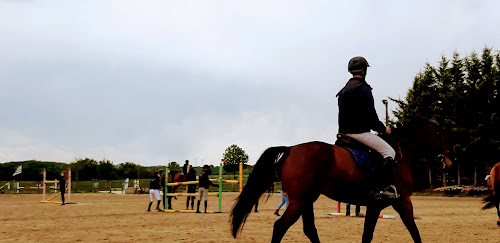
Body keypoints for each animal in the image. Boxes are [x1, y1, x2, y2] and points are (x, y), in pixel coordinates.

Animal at [231, 120, 454, 243]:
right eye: (441, 136)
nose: (447, 163)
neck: (402, 154)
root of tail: (291, 149)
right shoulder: (402, 201)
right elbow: (414, 231)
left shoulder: (378, 205)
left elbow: (368, 235)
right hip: (299, 201)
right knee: (280, 227)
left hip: (305, 200)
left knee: (309, 229)